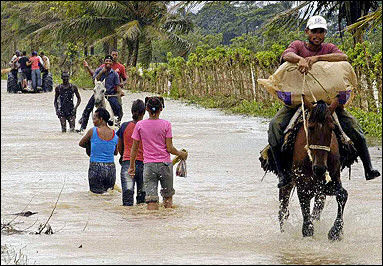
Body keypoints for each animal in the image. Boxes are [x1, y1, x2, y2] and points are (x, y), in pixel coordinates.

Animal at [280, 96, 348, 241]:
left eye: (332, 128)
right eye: (310, 127)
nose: (320, 168)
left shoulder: (330, 183)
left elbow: (342, 195)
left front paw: (335, 232)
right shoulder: (302, 186)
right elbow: (306, 219)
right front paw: (308, 232)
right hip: (287, 183)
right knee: (282, 209)